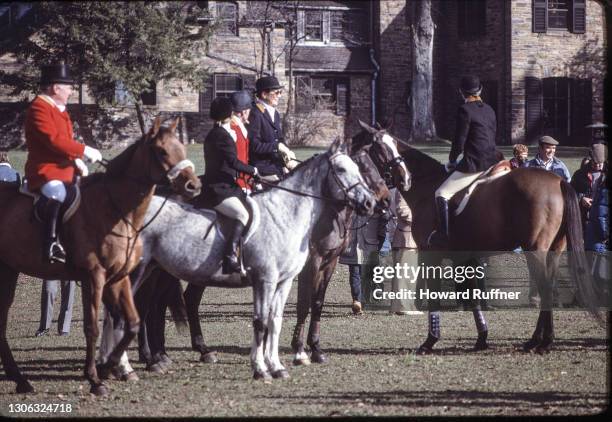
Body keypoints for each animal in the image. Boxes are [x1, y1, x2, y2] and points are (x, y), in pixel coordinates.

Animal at [0, 116, 202, 396]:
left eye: (181, 147)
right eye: (162, 151)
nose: (194, 186)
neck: (116, 210)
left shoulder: (120, 278)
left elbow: (132, 322)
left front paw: (110, 367)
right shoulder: (93, 277)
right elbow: (92, 327)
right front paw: (95, 379)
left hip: (8, 271)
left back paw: (20, 380)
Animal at [392, 131, 604, 352]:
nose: (403, 181)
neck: (426, 187)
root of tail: (559, 181)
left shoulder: (431, 253)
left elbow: (443, 293)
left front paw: (430, 341)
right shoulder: (464, 257)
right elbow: (472, 295)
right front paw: (481, 338)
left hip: (535, 249)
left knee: (545, 288)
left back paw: (542, 341)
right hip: (554, 249)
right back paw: (538, 341)